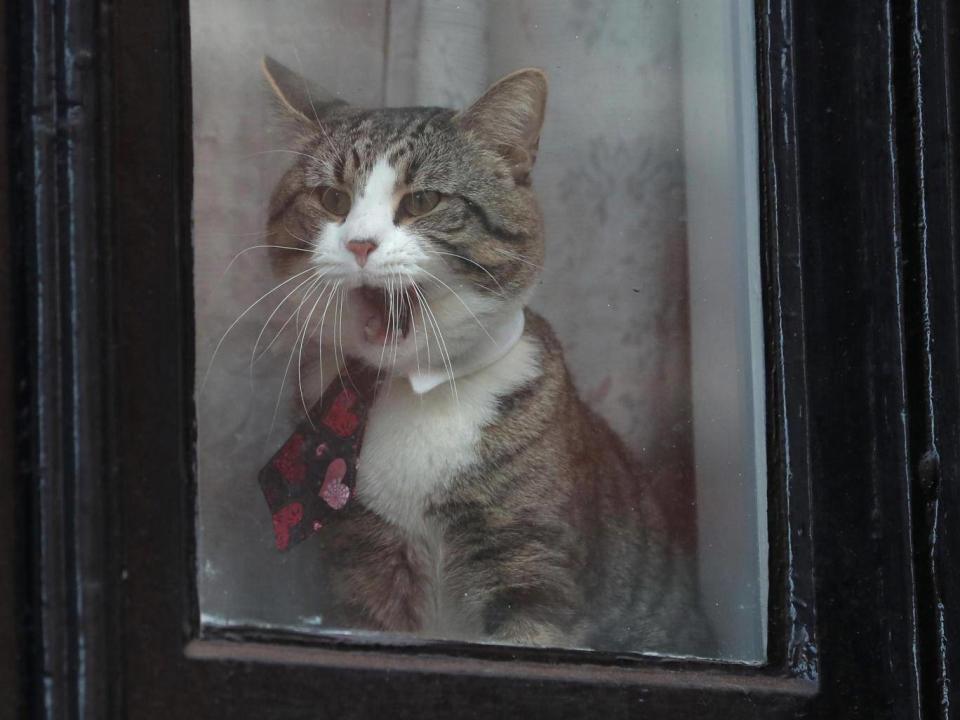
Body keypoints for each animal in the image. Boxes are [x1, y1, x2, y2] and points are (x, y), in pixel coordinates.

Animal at [258, 56, 708, 652]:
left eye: (423, 201)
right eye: (332, 200)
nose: (359, 244)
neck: (412, 389)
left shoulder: (529, 563)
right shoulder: (361, 564)